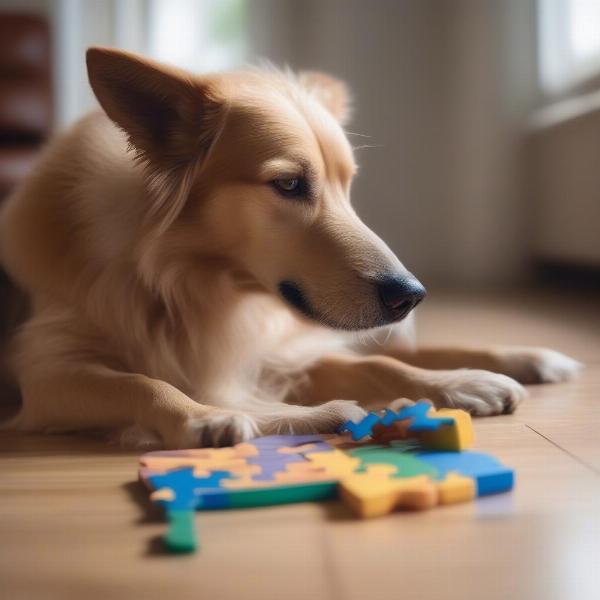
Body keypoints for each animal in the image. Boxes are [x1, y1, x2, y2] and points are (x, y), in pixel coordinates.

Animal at [0, 47, 580, 448]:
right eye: (288, 184)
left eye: (348, 185)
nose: (411, 296)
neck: (181, 281)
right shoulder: (49, 375)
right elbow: (142, 383)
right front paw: (204, 416)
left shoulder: (273, 349)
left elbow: (382, 363)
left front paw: (460, 384)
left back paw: (523, 359)